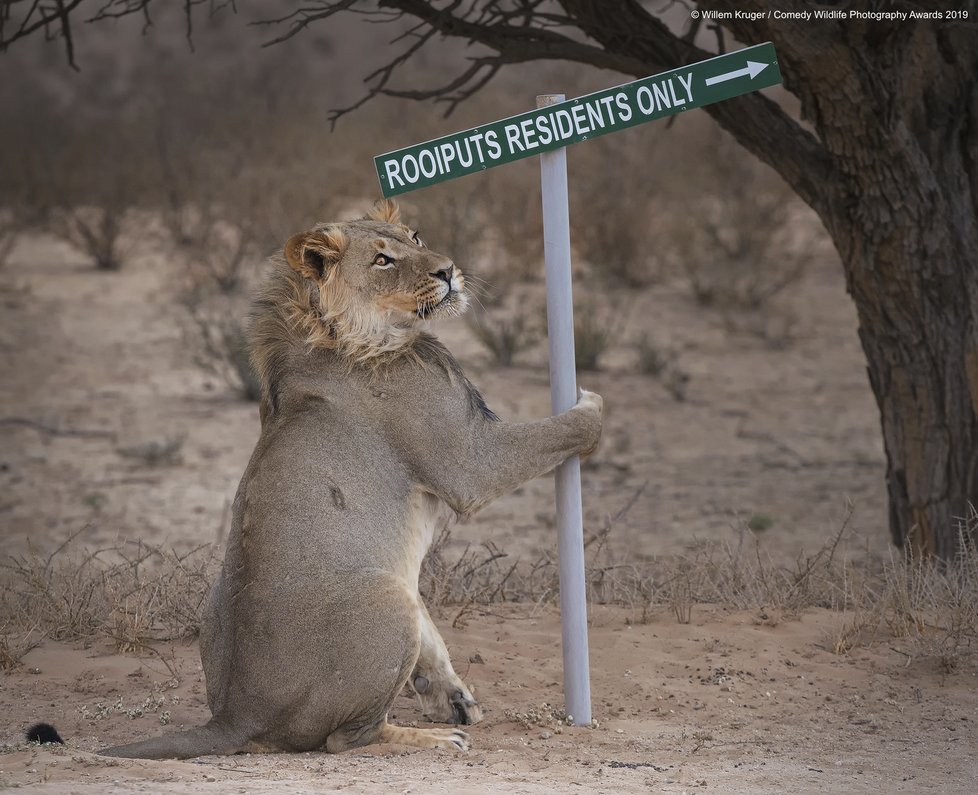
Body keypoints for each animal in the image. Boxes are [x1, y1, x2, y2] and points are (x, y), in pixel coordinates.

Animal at [101, 199, 604, 760]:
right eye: (383, 260)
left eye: (415, 236)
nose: (448, 270)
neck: (355, 334)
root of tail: (235, 716)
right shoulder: (472, 461)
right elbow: (564, 429)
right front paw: (592, 403)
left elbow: (433, 639)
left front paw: (452, 695)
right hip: (386, 599)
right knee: (348, 738)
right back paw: (433, 738)